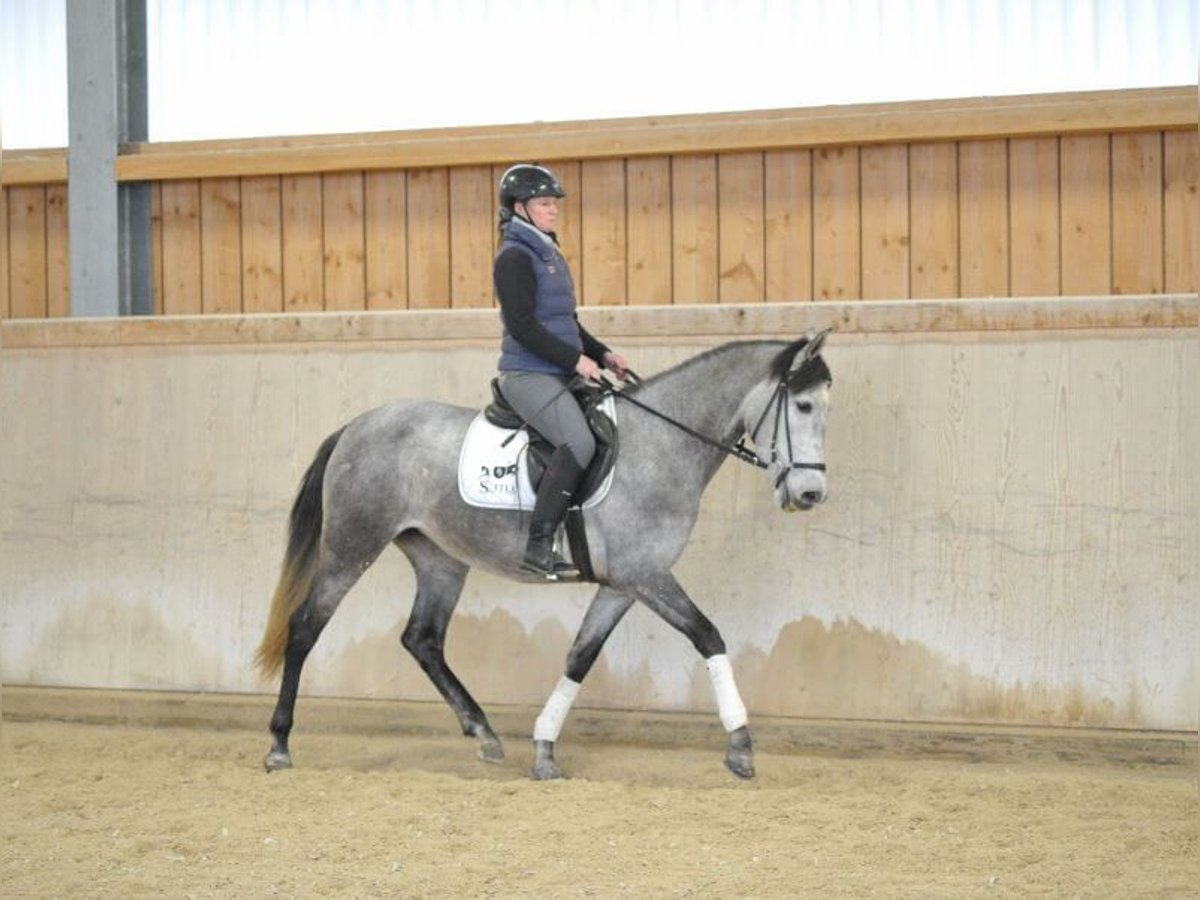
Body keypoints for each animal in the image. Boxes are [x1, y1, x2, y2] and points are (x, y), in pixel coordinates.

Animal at [255, 328, 835, 777]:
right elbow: (708, 636)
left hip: (440, 557)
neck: (661, 444)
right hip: (352, 545)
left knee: (423, 639)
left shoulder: (624, 584)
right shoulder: (646, 575)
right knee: (305, 628)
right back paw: (280, 744)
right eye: (803, 405)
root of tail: (356, 426)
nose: (810, 495)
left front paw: (544, 748)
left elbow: (580, 655)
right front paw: (741, 747)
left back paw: (484, 733)